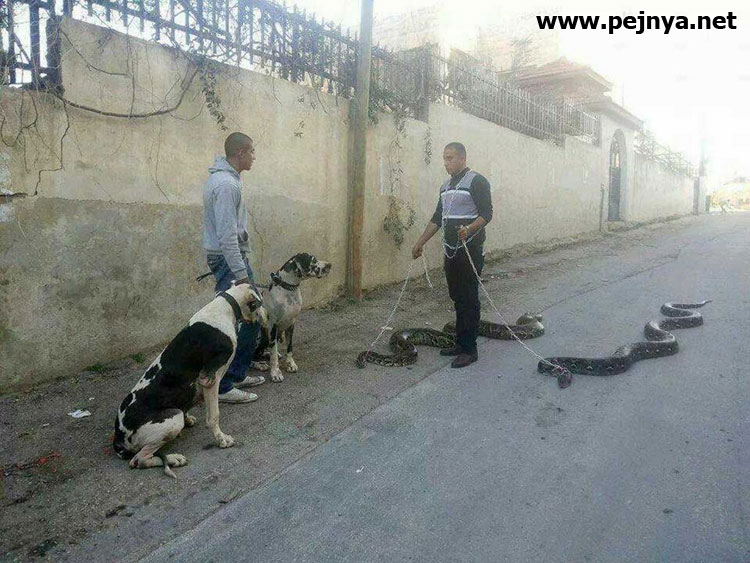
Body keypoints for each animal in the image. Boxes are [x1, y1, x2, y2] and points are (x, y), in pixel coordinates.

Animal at [113, 283, 266, 477]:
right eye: (261, 301)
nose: (266, 317)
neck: (226, 307)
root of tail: (118, 436)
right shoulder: (209, 379)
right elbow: (214, 416)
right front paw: (222, 439)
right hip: (172, 417)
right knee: (139, 459)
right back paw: (174, 458)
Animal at [255, 252, 331, 383]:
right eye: (313, 260)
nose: (329, 265)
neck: (288, 289)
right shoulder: (273, 326)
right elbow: (274, 353)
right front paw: (275, 372)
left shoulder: (291, 323)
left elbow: (289, 347)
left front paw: (290, 364)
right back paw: (259, 364)